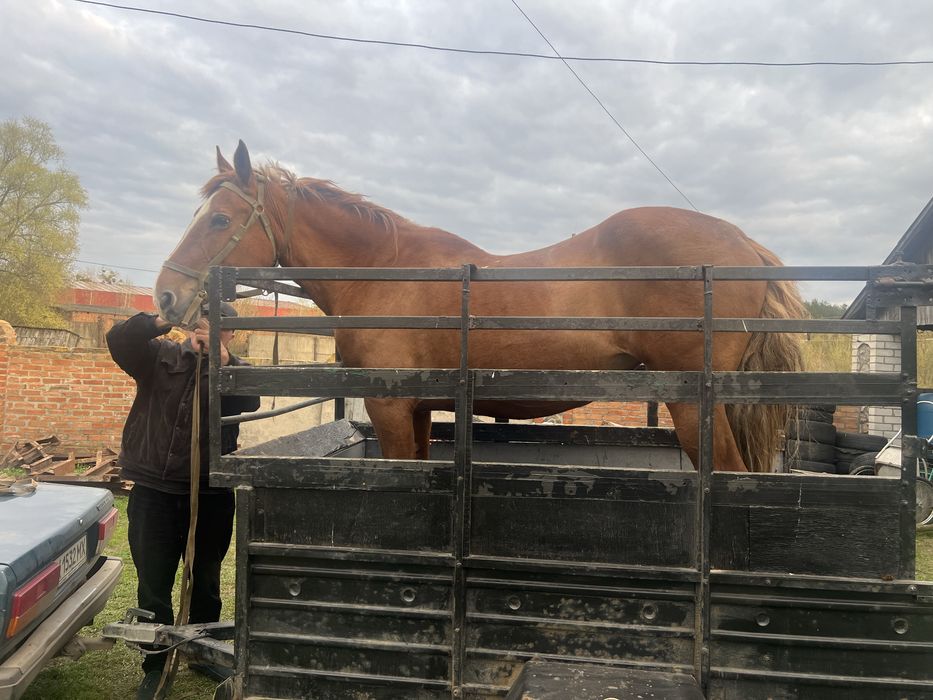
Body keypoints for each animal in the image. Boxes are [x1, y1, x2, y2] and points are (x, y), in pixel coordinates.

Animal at [154, 140, 804, 472]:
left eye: (219, 220)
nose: (165, 294)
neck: (386, 269)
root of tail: (744, 243)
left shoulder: (390, 407)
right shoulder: (417, 409)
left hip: (694, 408)